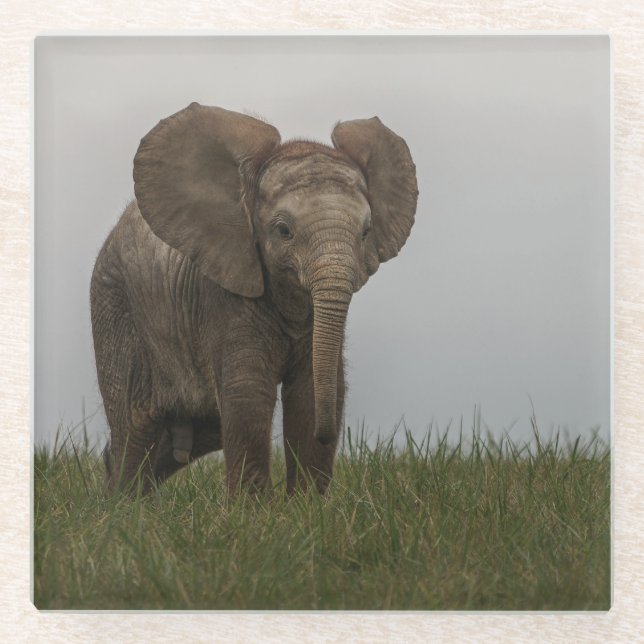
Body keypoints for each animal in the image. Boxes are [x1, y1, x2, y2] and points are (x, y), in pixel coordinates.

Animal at [91, 102, 418, 496]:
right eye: (283, 231)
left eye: (366, 232)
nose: (327, 436)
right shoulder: (222, 293)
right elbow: (248, 393)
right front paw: (255, 510)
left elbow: (309, 393)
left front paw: (307, 506)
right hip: (114, 305)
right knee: (135, 428)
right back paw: (121, 506)